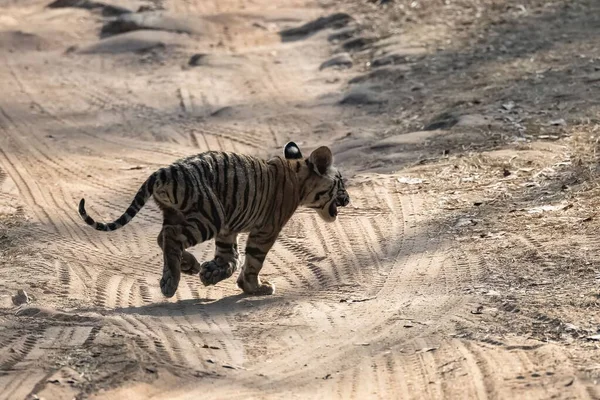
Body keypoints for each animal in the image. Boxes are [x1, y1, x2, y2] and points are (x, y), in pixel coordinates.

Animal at [79, 143, 352, 296]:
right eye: (341, 183)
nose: (349, 199)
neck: (299, 177)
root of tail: (166, 170)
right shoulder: (265, 230)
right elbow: (253, 260)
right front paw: (255, 288)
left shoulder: (229, 228)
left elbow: (230, 256)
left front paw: (212, 273)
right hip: (209, 216)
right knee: (171, 236)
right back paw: (172, 282)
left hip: (182, 214)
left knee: (163, 237)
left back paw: (187, 266)